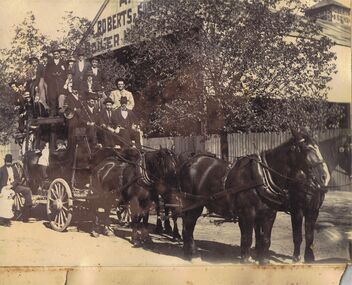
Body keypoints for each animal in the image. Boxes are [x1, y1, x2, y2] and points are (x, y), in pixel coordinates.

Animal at [180, 130, 328, 262]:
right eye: (307, 149)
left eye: (318, 147)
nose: (324, 177)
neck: (262, 177)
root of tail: (189, 161)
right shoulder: (252, 213)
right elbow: (249, 238)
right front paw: (246, 259)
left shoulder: (273, 213)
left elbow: (267, 239)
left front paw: (264, 260)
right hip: (193, 204)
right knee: (189, 226)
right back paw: (193, 255)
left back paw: (187, 251)